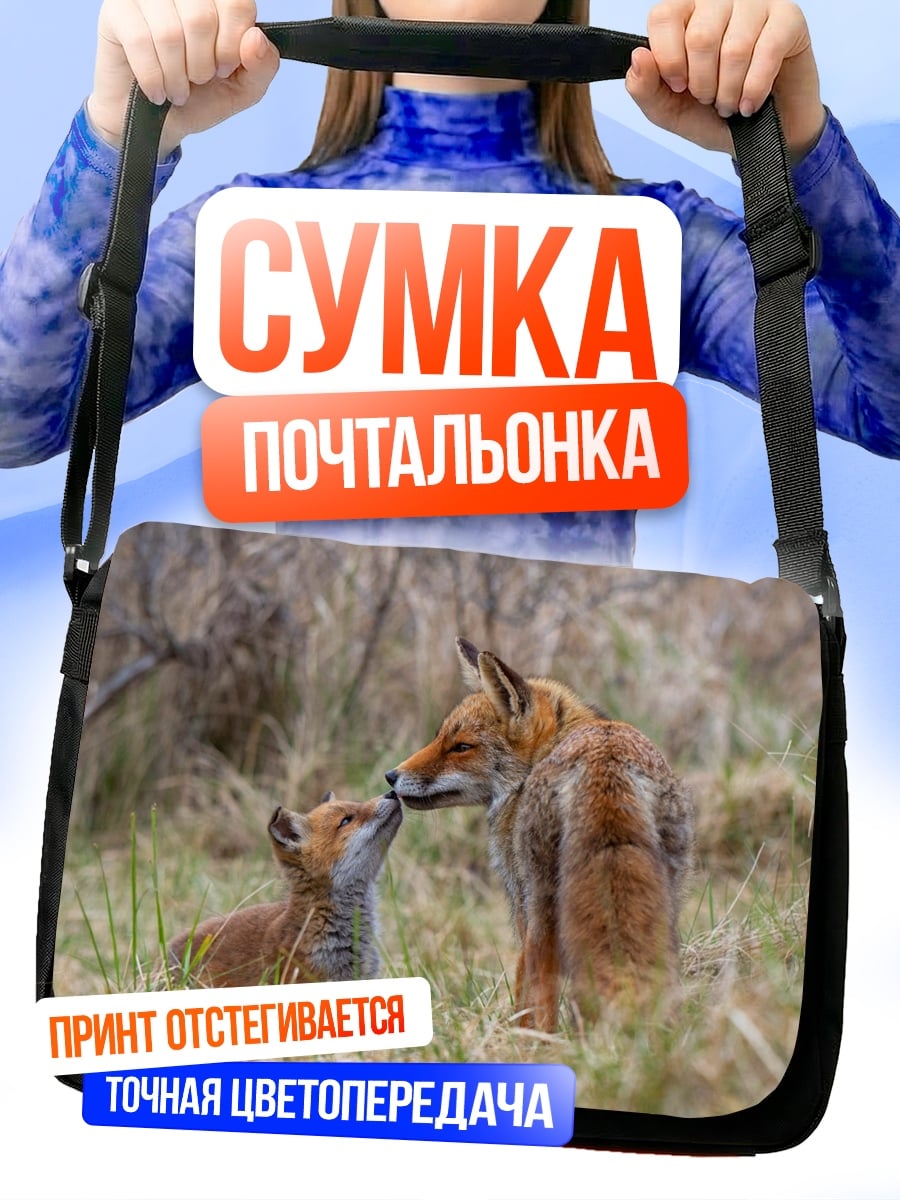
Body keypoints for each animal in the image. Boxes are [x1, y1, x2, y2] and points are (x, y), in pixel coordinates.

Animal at [386, 638, 695, 1032]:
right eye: (440, 737)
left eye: (461, 747)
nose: (391, 776)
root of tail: (607, 764)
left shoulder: (522, 902)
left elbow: (524, 983)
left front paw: (515, 1033)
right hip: (666, 897)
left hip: (544, 903)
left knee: (543, 982)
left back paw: (541, 1041)